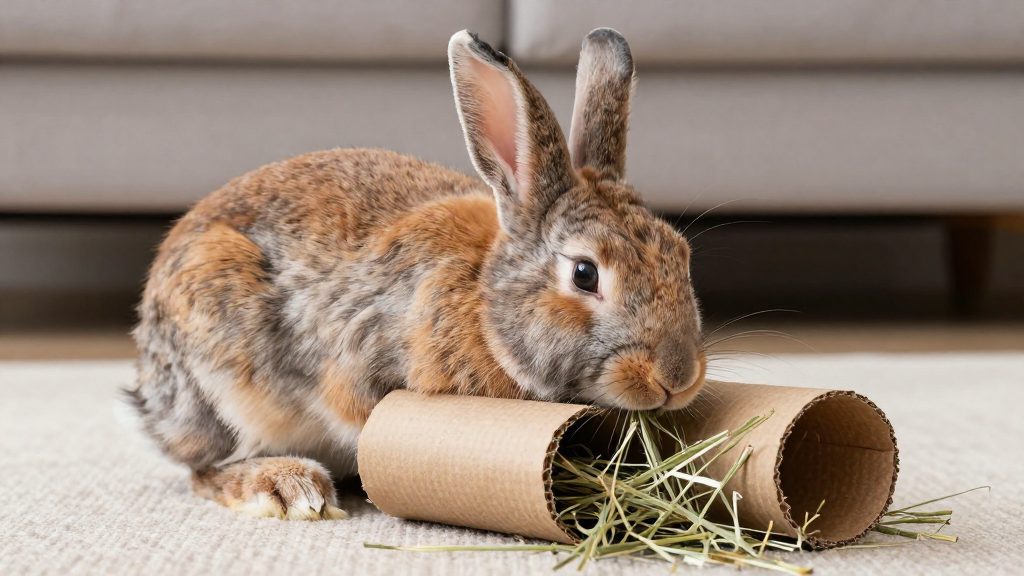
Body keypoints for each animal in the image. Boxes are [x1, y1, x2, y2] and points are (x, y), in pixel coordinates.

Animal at [127, 28, 706, 521]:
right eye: (585, 274)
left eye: (682, 255)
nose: (677, 378)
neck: (486, 308)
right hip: (221, 376)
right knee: (205, 468)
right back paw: (288, 488)